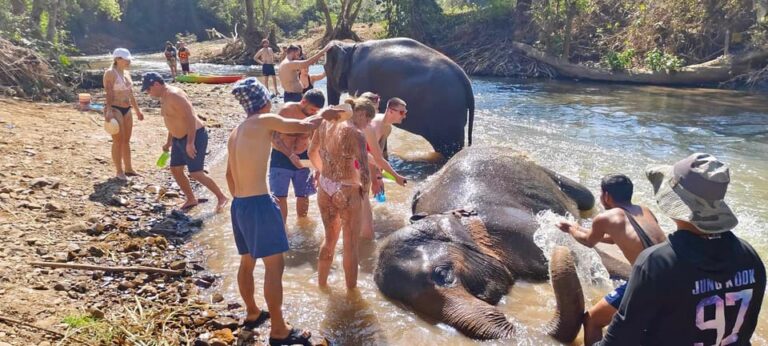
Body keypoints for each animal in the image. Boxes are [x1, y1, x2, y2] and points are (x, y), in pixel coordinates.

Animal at [322, 37, 474, 158]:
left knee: (449, 146)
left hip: (446, 114)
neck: (352, 46)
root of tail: (465, 79)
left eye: (325, 67)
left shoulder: (359, 78)